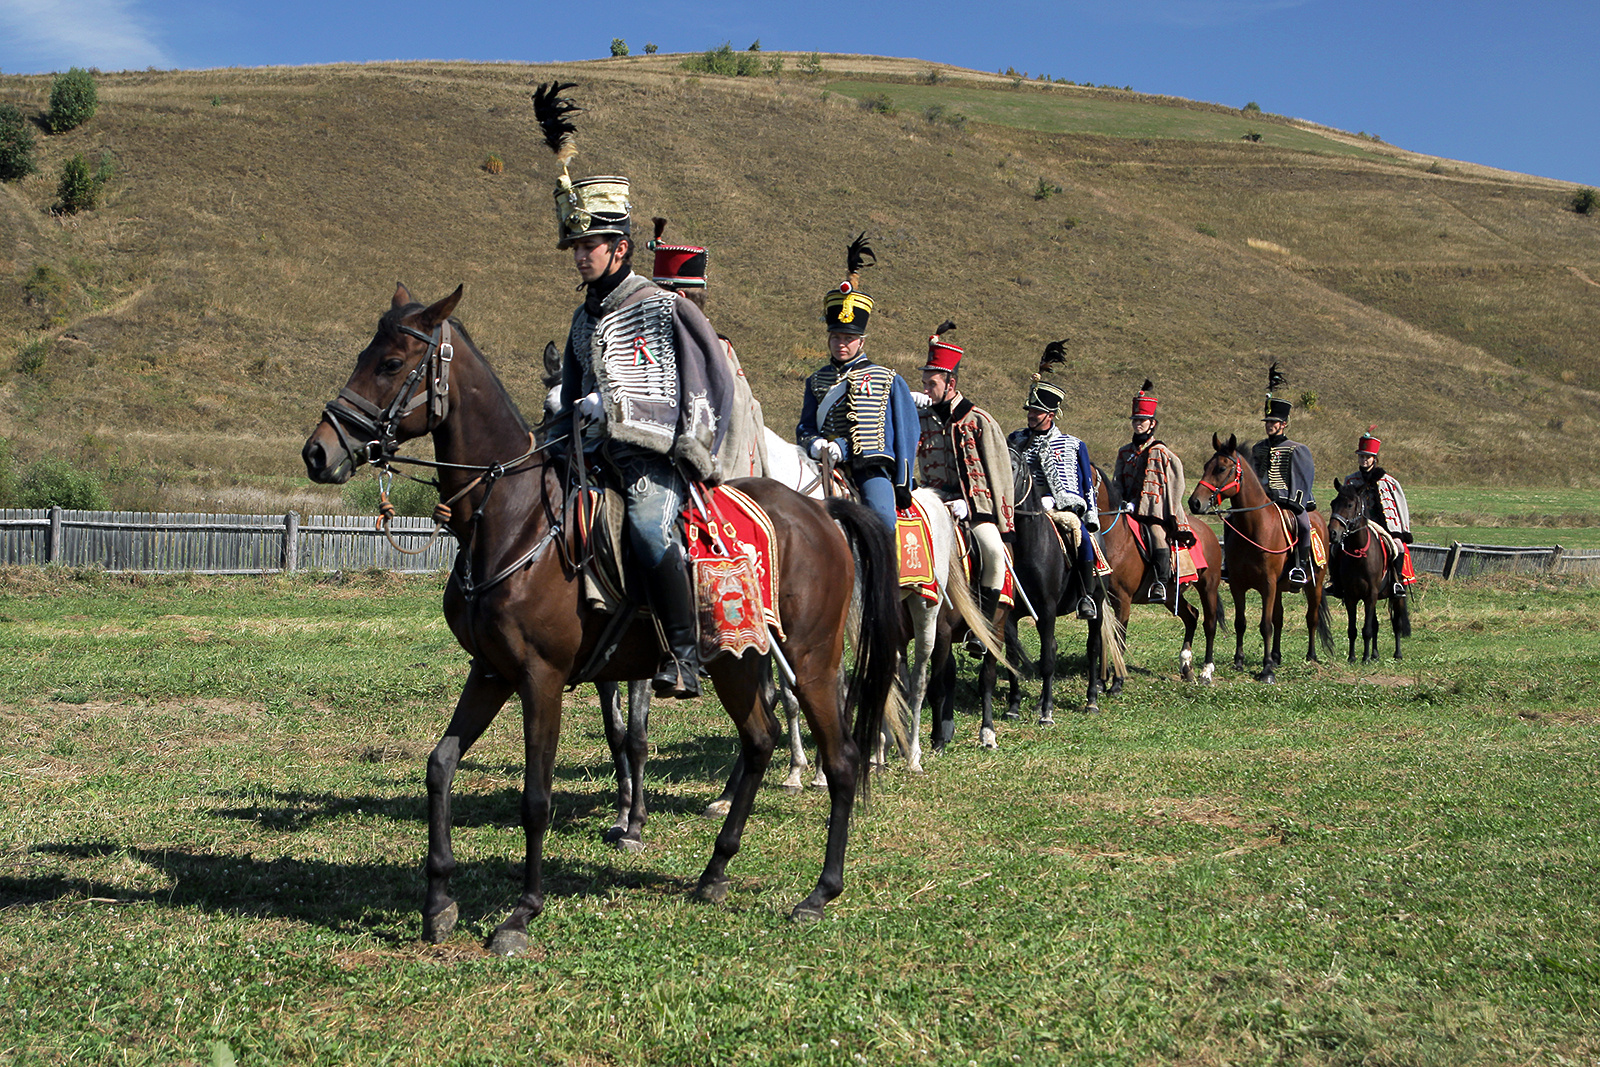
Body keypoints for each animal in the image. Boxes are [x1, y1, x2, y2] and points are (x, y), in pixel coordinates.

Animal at [300, 286, 902, 959]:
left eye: (391, 362)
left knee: (841, 757)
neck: (514, 518)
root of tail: (821, 512)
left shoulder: (540, 679)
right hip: (735, 661)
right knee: (758, 740)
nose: (318, 451)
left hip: (811, 660)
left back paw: (820, 891)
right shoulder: (491, 672)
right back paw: (714, 873)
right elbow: (440, 766)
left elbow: (537, 797)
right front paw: (438, 901)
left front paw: (521, 913)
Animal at [998, 457, 1126, 716]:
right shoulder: (1013, 615)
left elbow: (1048, 659)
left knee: (1093, 648)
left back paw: (1091, 700)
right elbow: (1013, 658)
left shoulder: (1047, 610)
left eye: (1014, 467)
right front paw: (1014, 706)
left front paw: (1047, 712)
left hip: (1096, 604)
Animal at [1196, 435, 1331, 684]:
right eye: (1205, 466)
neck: (1253, 526)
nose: (1195, 502)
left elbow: (1265, 625)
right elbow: (1241, 623)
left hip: (1314, 584)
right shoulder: (1238, 584)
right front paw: (1239, 661)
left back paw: (1310, 656)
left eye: (1221, 468)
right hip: (1279, 588)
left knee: (1312, 617)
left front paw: (1266, 669)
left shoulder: (1268, 585)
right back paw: (1276, 656)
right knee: (1279, 617)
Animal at [1324, 476, 1414, 662]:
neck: (1359, 554)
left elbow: (1367, 630)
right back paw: (1375, 654)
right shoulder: (1351, 596)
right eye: (1333, 503)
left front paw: (1364, 658)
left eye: (1350, 505)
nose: (1333, 533)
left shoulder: (1370, 595)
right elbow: (1353, 630)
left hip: (1395, 597)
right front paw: (1352, 657)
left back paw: (1397, 654)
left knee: (1397, 624)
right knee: (1376, 625)